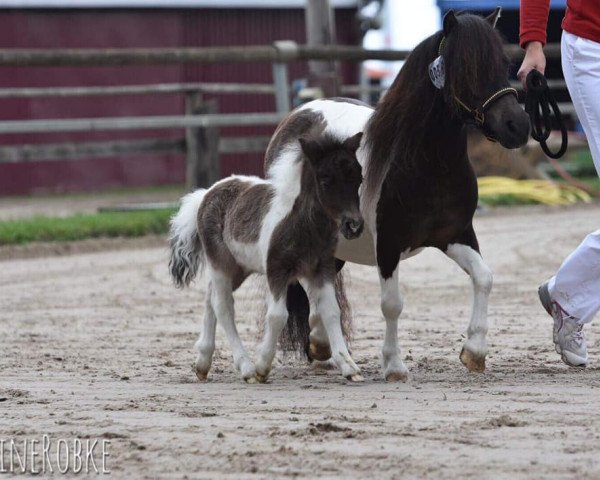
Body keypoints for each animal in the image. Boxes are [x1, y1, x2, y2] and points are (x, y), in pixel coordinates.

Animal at [170, 131, 366, 382]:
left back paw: (203, 363)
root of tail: (206, 194)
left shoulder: (321, 269)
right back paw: (246, 368)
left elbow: (331, 311)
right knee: (223, 306)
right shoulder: (277, 270)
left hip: (239, 268)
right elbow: (277, 316)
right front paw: (262, 366)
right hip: (220, 263)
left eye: (359, 178)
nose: (354, 225)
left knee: (210, 298)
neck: (303, 224)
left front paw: (349, 367)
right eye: (325, 180)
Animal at [264, 9, 528, 380]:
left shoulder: (456, 235)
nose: (518, 126)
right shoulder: (388, 244)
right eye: (465, 68)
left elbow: (484, 278)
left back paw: (321, 344)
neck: (426, 164)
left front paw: (475, 351)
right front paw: (394, 365)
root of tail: (300, 114)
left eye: (505, 63)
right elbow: (392, 304)